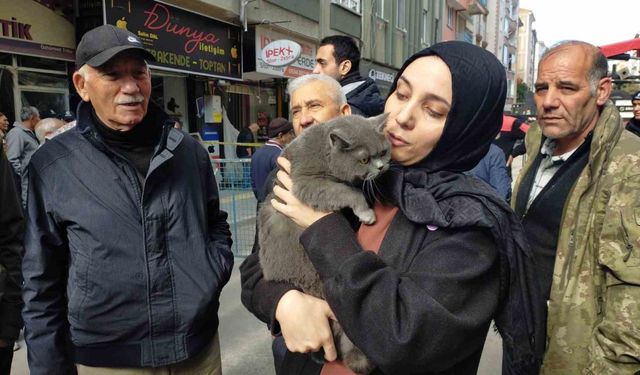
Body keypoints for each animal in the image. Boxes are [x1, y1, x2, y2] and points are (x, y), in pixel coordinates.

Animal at [256, 113, 390, 374]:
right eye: (364, 159)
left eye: (384, 152)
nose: (381, 167)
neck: (324, 153)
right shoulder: (306, 182)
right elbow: (348, 192)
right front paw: (366, 213)